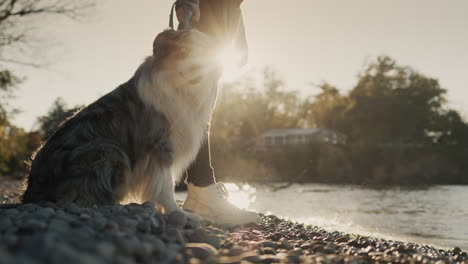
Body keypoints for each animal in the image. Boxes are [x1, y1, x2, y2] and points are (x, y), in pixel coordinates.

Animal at [22, 0, 249, 218]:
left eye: (205, 53)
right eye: (184, 51)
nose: (200, 71)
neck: (180, 85)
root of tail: (31, 190)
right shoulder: (160, 144)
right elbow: (165, 184)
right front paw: (176, 212)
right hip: (108, 149)